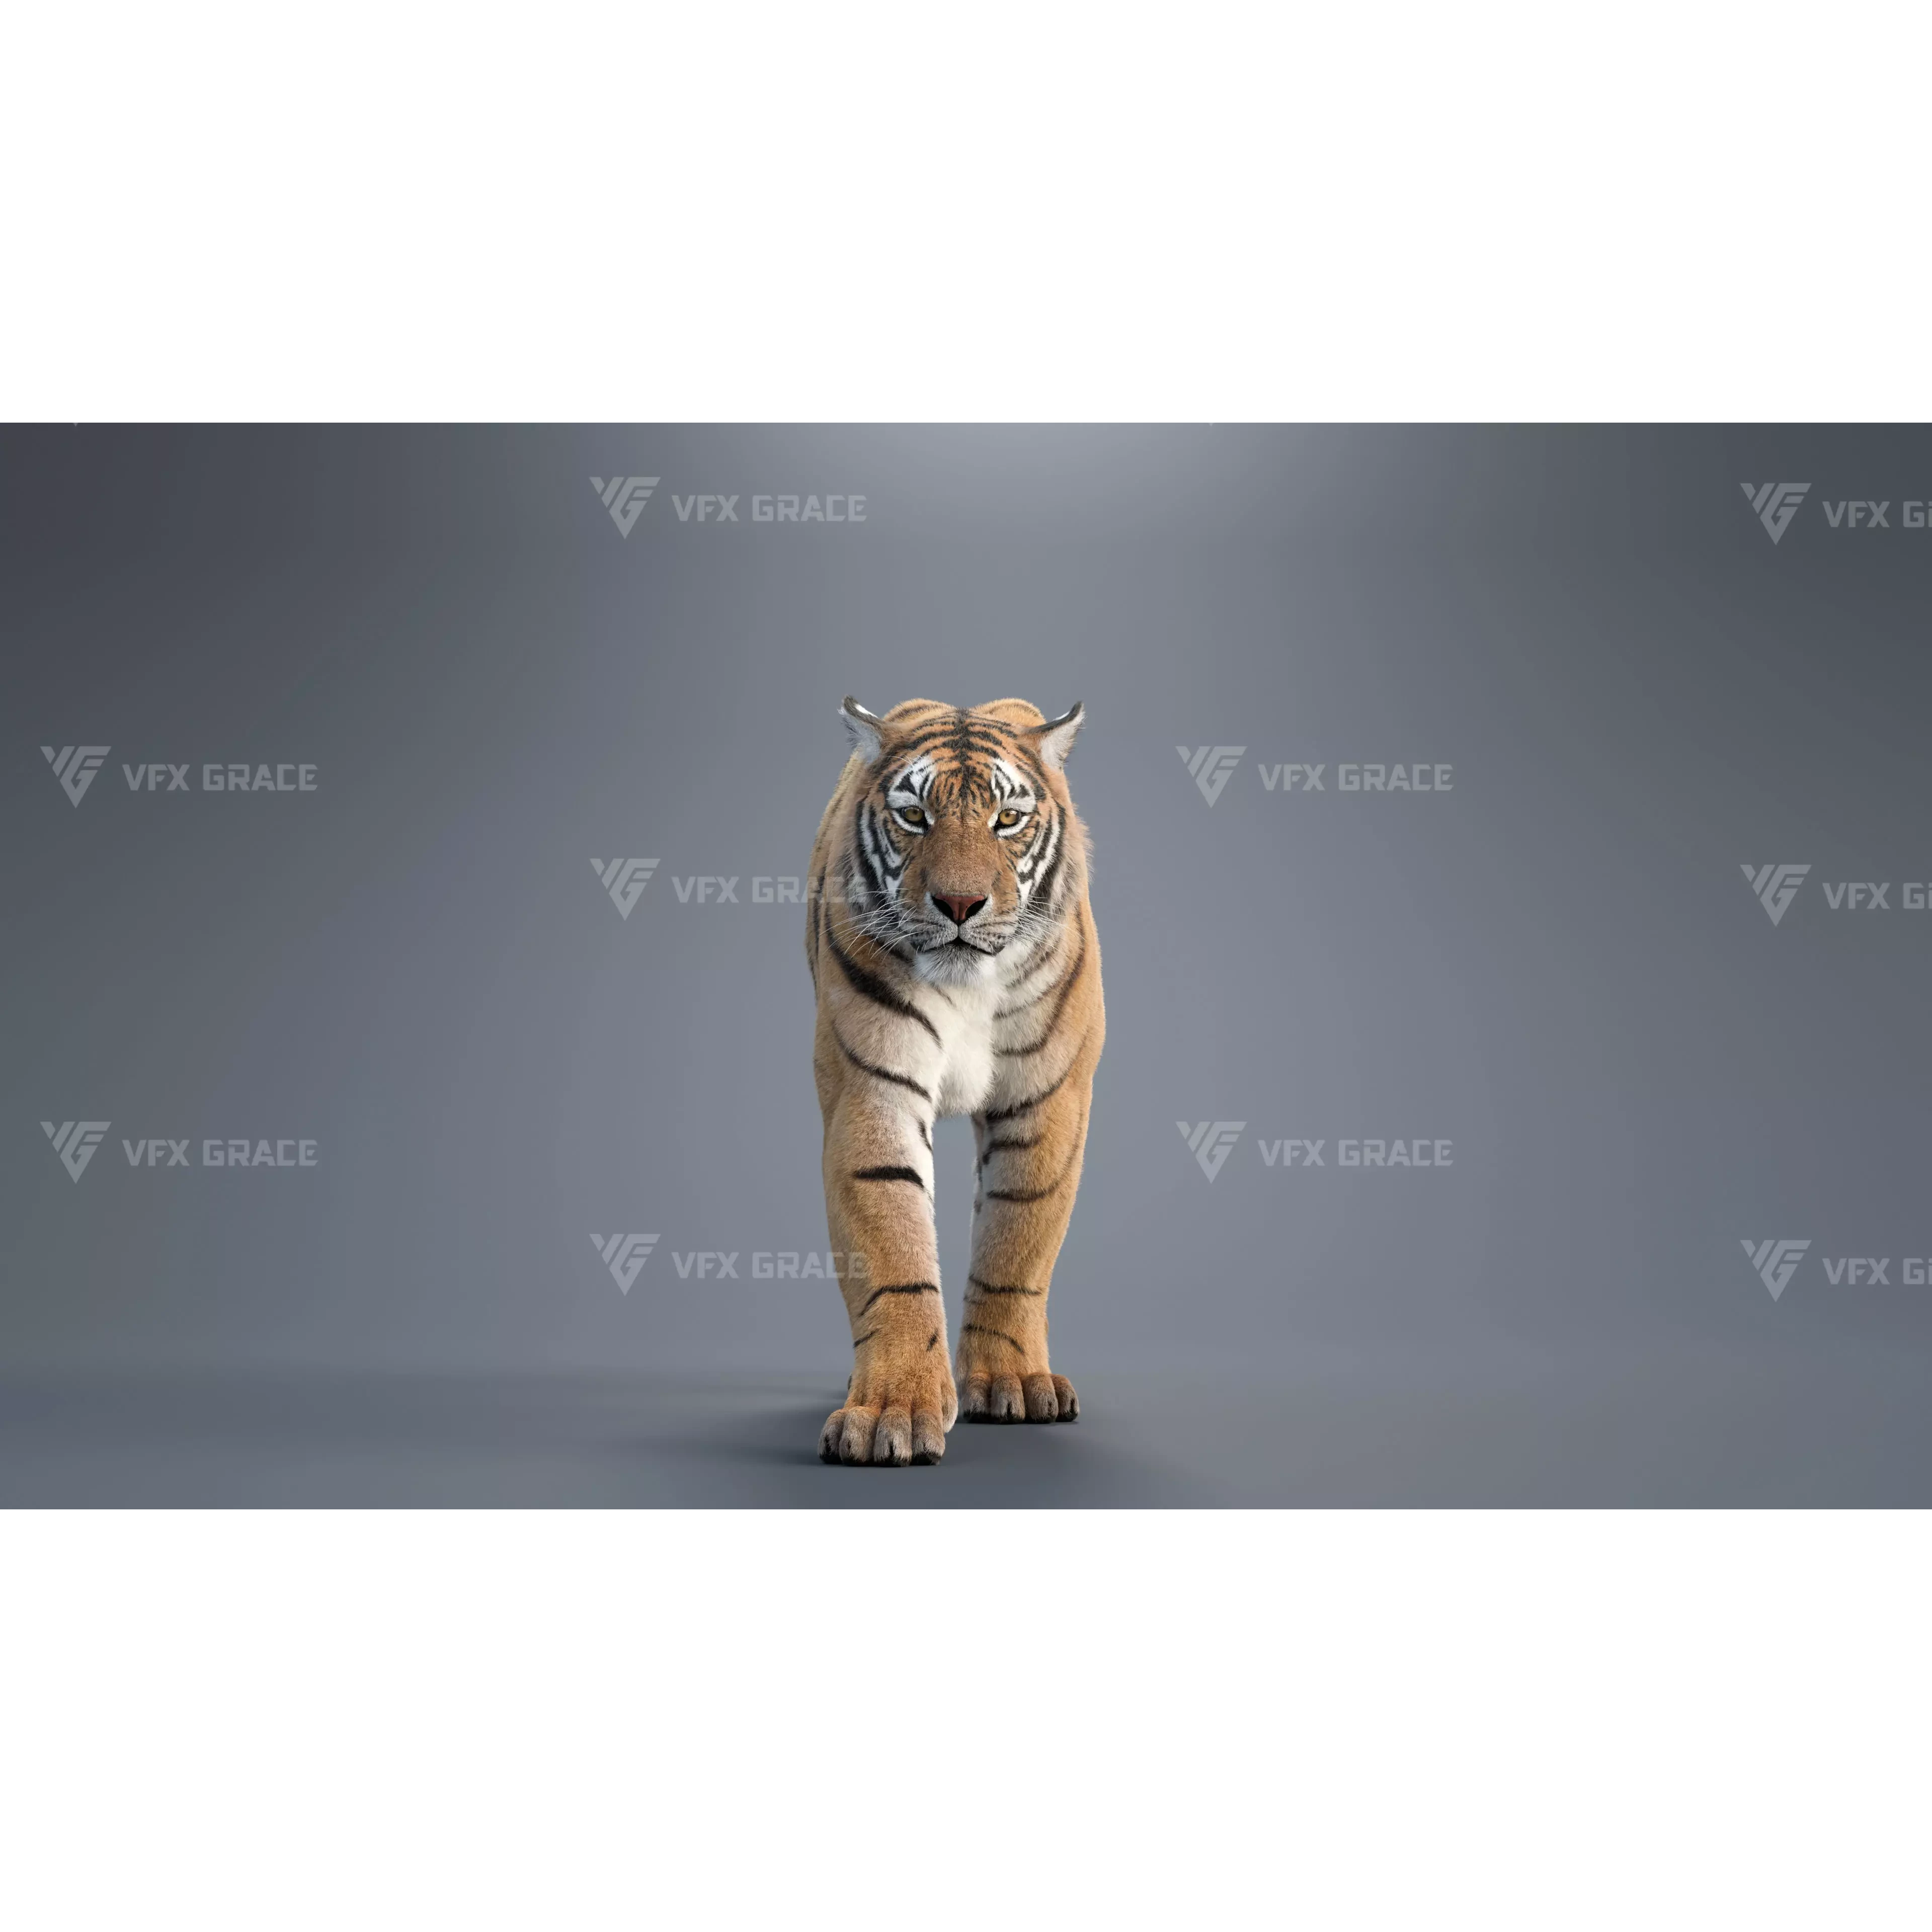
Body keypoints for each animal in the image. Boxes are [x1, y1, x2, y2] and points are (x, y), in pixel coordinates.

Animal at [804, 696, 1105, 1466]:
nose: (961, 904)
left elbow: (1015, 1243)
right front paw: (892, 1410)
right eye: (915, 817)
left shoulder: (1044, 1102)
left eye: (1008, 819)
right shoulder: (872, 1092)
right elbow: (894, 1253)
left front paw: (1012, 1382)